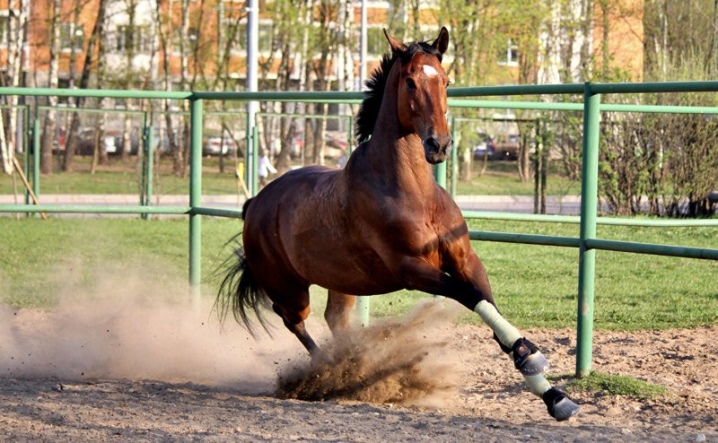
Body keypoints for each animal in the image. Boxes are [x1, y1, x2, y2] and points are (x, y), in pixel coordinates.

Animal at [217, 26, 584, 422]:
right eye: (410, 81)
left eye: (446, 80)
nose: (439, 144)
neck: (413, 192)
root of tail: (256, 203)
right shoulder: (411, 269)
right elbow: (470, 297)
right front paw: (535, 360)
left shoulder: (465, 259)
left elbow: (488, 303)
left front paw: (553, 392)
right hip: (290, 289)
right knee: (294, 321)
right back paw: (333, 376)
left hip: (342, 283)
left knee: (335, 320)